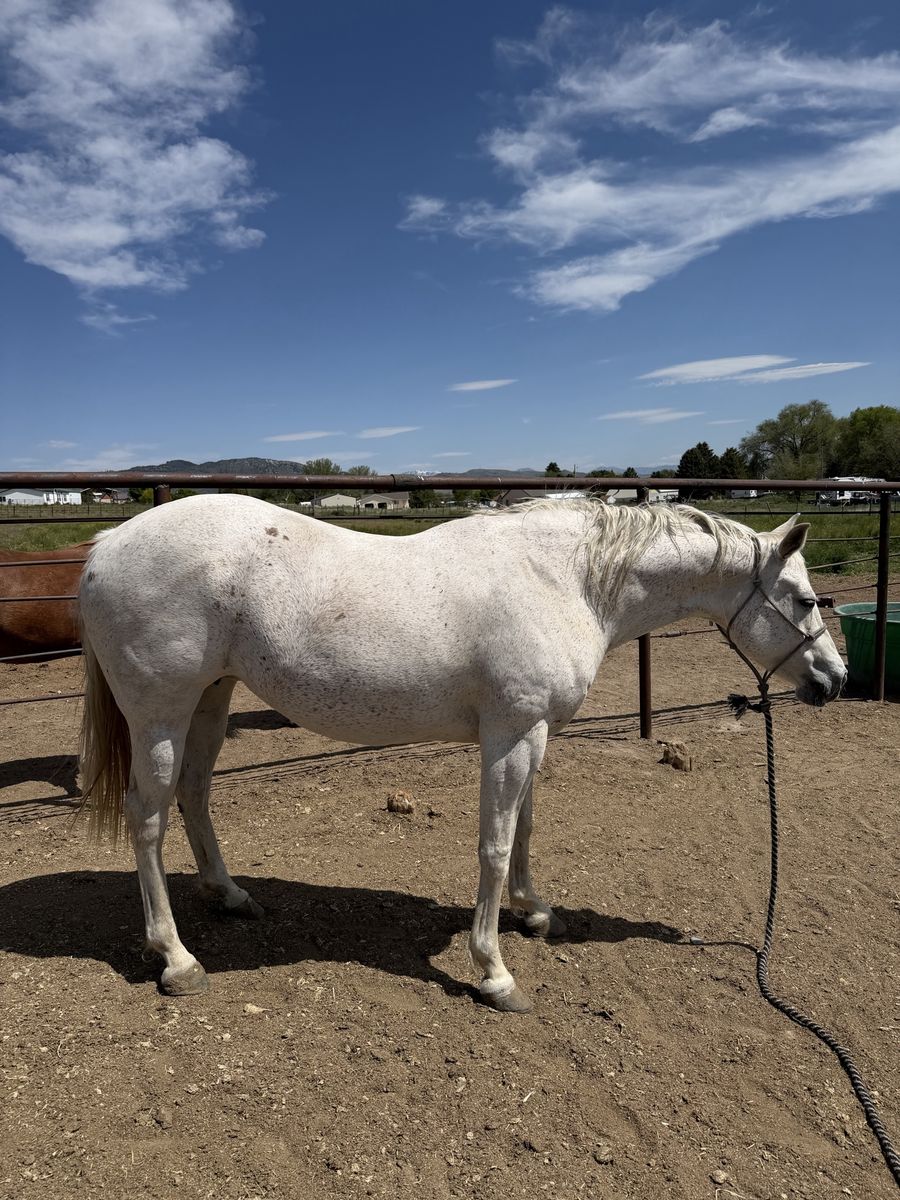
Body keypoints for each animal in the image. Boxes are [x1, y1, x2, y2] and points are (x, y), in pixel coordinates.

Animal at [78, 494, 846, 1010]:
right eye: (806, 600)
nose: (833, 682)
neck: (562, 578)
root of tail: (108, 544)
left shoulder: (535, 732)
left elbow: (527, 828)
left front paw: (535, 912)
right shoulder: (509, 736)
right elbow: (495, 846)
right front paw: (495, 971)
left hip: (210, 698)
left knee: (194, 793)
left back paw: (230, 895)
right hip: (160, 714)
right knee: (147, 818)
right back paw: (176, 958)